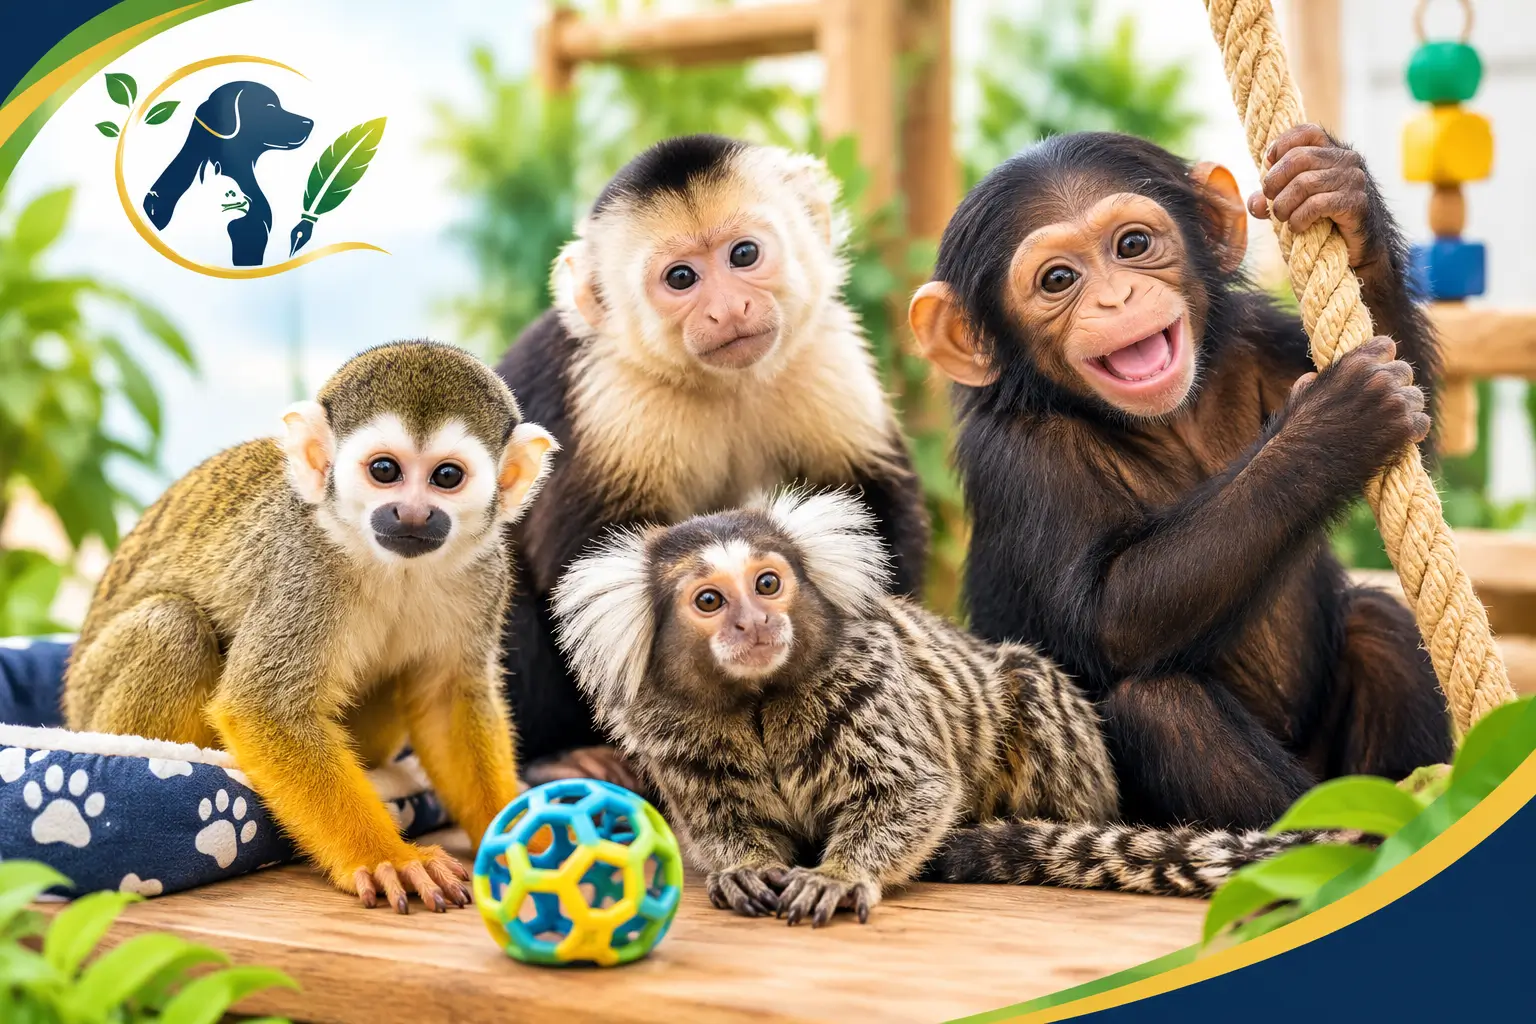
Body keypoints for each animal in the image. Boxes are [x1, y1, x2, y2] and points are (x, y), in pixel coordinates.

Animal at [63, 341, 558, 913]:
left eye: (447, 477)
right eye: (384, 470)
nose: (411, 515)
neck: (394, 565)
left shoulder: (485, 574)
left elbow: (447, 702)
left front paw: (528, 840)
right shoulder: (302, 567)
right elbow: (264, 707)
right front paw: (391, 857)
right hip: (92, 701)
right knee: (174, 625)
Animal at [494, 133, 929, 788]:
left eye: (743, 255)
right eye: (681, 278)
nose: (728, 309)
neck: (727, 385)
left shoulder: (823, 351)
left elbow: (865, 504)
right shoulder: (611, 395)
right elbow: (592, 564)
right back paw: (557, 753)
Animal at [550, 490, 1322, 927]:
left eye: (768, 584)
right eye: (709, 600)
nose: (754, 624)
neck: (758, 708)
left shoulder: (867, 693)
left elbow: (911, 795)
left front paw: (837, 876)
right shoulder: (672, 736)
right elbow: (717, 825)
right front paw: (743, 869)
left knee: (1030, 690)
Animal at [907, 126, 1453, 832]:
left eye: (1133, 246)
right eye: (1059, 280)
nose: (1116, 298)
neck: (1168, 422)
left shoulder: (1258, 341)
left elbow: (1420, 414)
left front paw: (1337, 189)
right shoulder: (1020, 459)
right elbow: (1109, 614)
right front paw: (1335, 422)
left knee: (1381, 626)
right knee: (1156, 702)